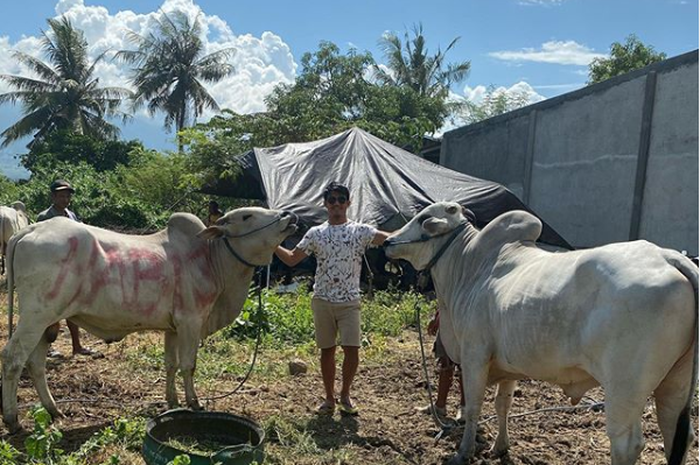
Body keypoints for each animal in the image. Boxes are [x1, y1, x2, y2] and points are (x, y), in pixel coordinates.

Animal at [0, 207, 296, 432]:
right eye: (247, 216)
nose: (288, 215)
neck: (211, 258)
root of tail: (28, 231)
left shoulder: (173, 328)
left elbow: (170, 365)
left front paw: (172, 401)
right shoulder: (191, 321)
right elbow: (188, 365)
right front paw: (194, 403)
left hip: (46, 322)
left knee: (36, 363)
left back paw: (54, 410)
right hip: (35, 317)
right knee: (13, 359)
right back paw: (13, 420)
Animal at [386, 202, 696, 464]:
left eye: (424, 218)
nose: (388, 241)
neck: (468, 266)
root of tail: (667, 257)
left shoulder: (475, 355)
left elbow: (474, 407)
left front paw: (464, 452)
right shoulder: (506, 365)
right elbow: (502, 404)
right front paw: (500, 447)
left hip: (624, 387)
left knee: (626, 444)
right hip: (675, 384)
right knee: (676, 434)